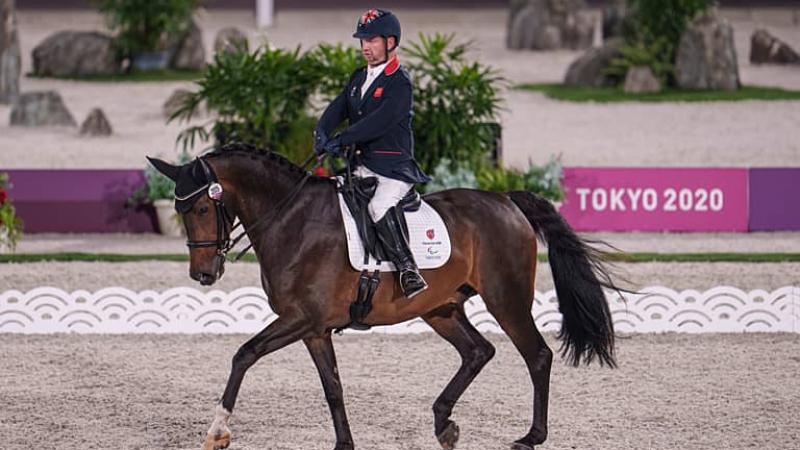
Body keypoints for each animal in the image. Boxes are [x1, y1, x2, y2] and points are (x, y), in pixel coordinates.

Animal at [145, 143, 620, 450]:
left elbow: (244, 354)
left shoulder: (300, 318)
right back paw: (444, 424)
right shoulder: (314, 329)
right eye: (180, 210)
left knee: (536, 356)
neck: (291, 218)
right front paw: (344, 444)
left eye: (202, 208)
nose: (203, 274)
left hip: (506, 299)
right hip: (441, 308)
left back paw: (531, 437)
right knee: (478, 351)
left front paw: (217, 431)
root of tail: (506, 200)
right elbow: (333, 387)